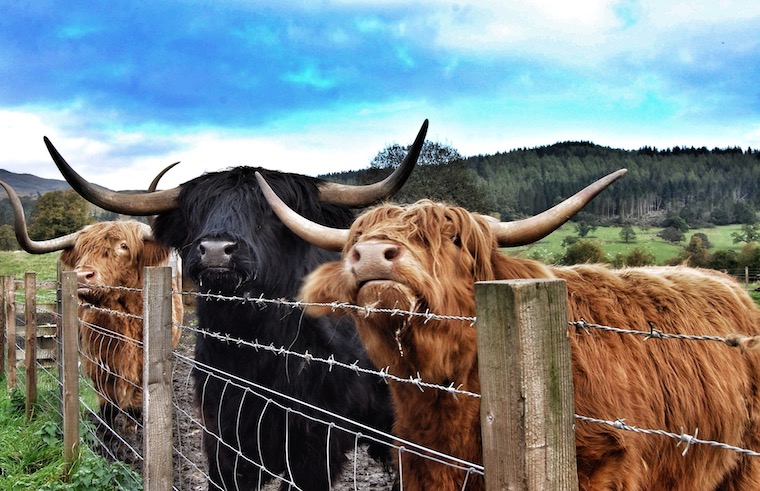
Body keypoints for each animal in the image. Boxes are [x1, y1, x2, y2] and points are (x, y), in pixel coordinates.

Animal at [47, 120, 428, 491]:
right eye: (198, 210)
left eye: (270, 213)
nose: (216, 250)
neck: (253, 348)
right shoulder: (224, 434)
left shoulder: (316, 447)